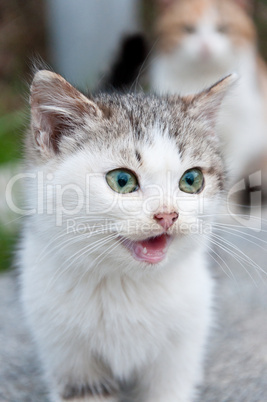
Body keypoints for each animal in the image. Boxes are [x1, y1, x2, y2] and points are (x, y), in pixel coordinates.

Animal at [19, 70, 236, 400]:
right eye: (122, 180)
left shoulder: (182, 347)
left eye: (191, 180)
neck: (125, 283)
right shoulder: (67, 357)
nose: (167, 215)